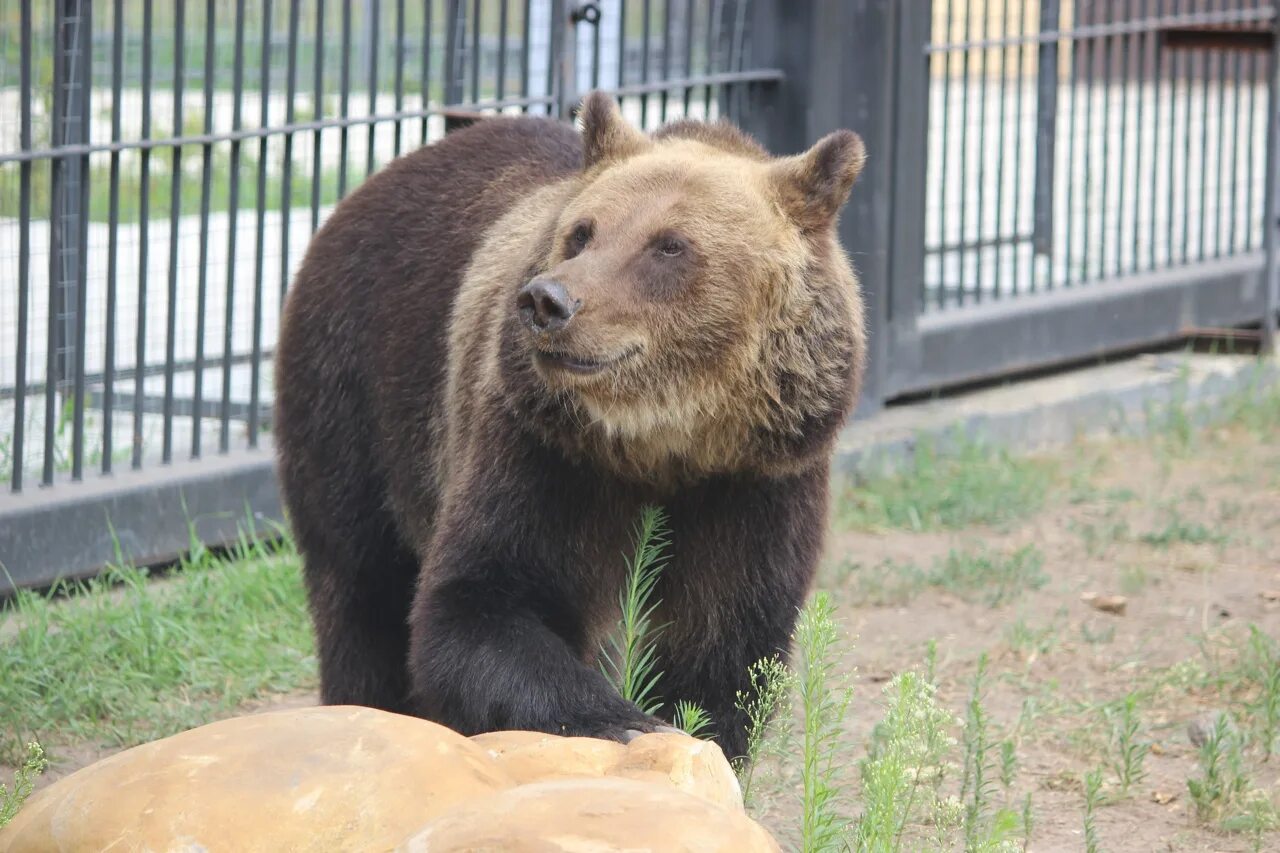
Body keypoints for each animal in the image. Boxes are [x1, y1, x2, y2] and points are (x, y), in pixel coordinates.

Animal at [275, 92, 865, 758]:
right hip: (357, 388)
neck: (665, 437)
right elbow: (480, 603)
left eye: (669, 245)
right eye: (582, 233)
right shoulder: (543, 452)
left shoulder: (758, 479)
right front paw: (626, 721)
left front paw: (689, 731)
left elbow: (725, 644)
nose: (547, 300)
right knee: (361, 581)